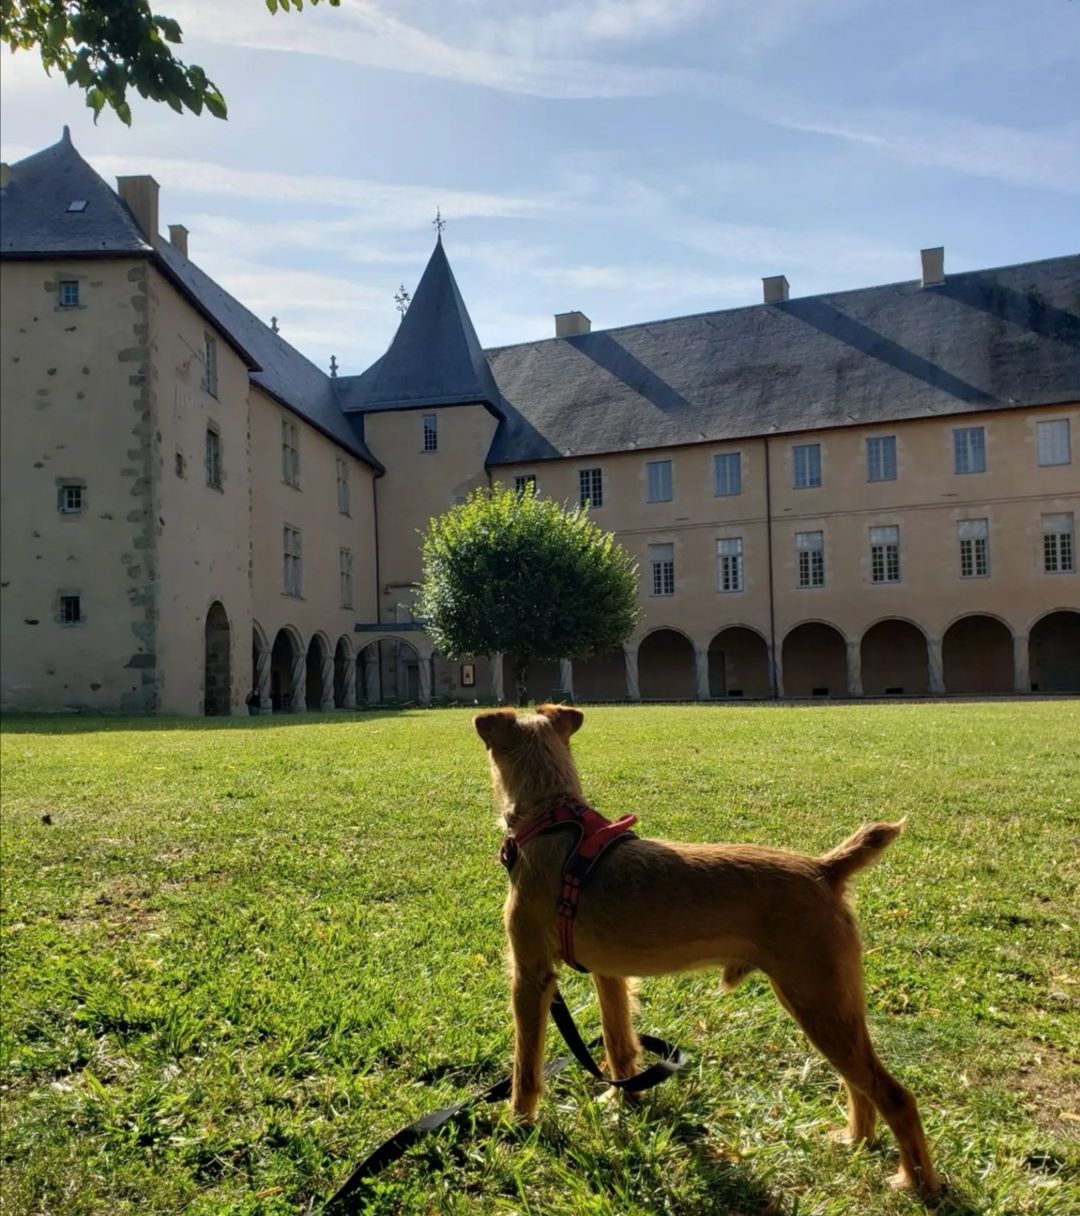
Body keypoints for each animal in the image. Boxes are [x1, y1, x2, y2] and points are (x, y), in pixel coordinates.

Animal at [476, 705, 938, 1196]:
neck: (553, 819)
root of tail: (824, 869)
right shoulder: (610, 974)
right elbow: (621, 1046)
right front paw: (625, 1099)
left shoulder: (531, 976)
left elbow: (526, 1066)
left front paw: (518, 1123)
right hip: (833, 1006)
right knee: (859, 1084)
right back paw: (855, 1139)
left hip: (817, 1001)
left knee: (893, 1094)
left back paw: (915, 1182)